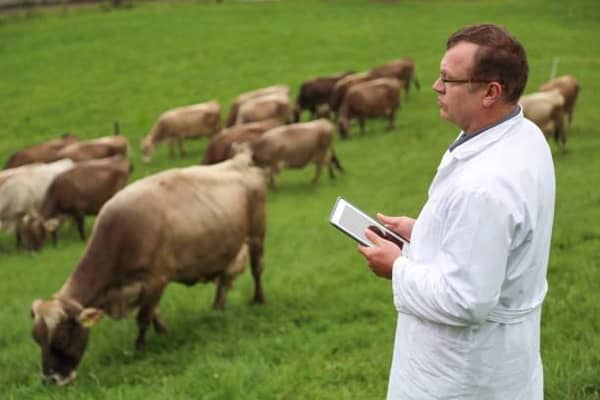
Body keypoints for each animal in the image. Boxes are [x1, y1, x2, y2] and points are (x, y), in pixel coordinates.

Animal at [30, 152, 268, 386]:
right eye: (36, 337)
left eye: (61, 339)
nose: (50, 380)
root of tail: (239, 161)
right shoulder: (142, 286)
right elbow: (153, 311)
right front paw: (164, 332)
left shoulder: (157, 278)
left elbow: (144, 316)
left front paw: (140, 346)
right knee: (224, 282)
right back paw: (216, 310)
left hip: (257, 236)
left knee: (257, 269)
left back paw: (258, 299)